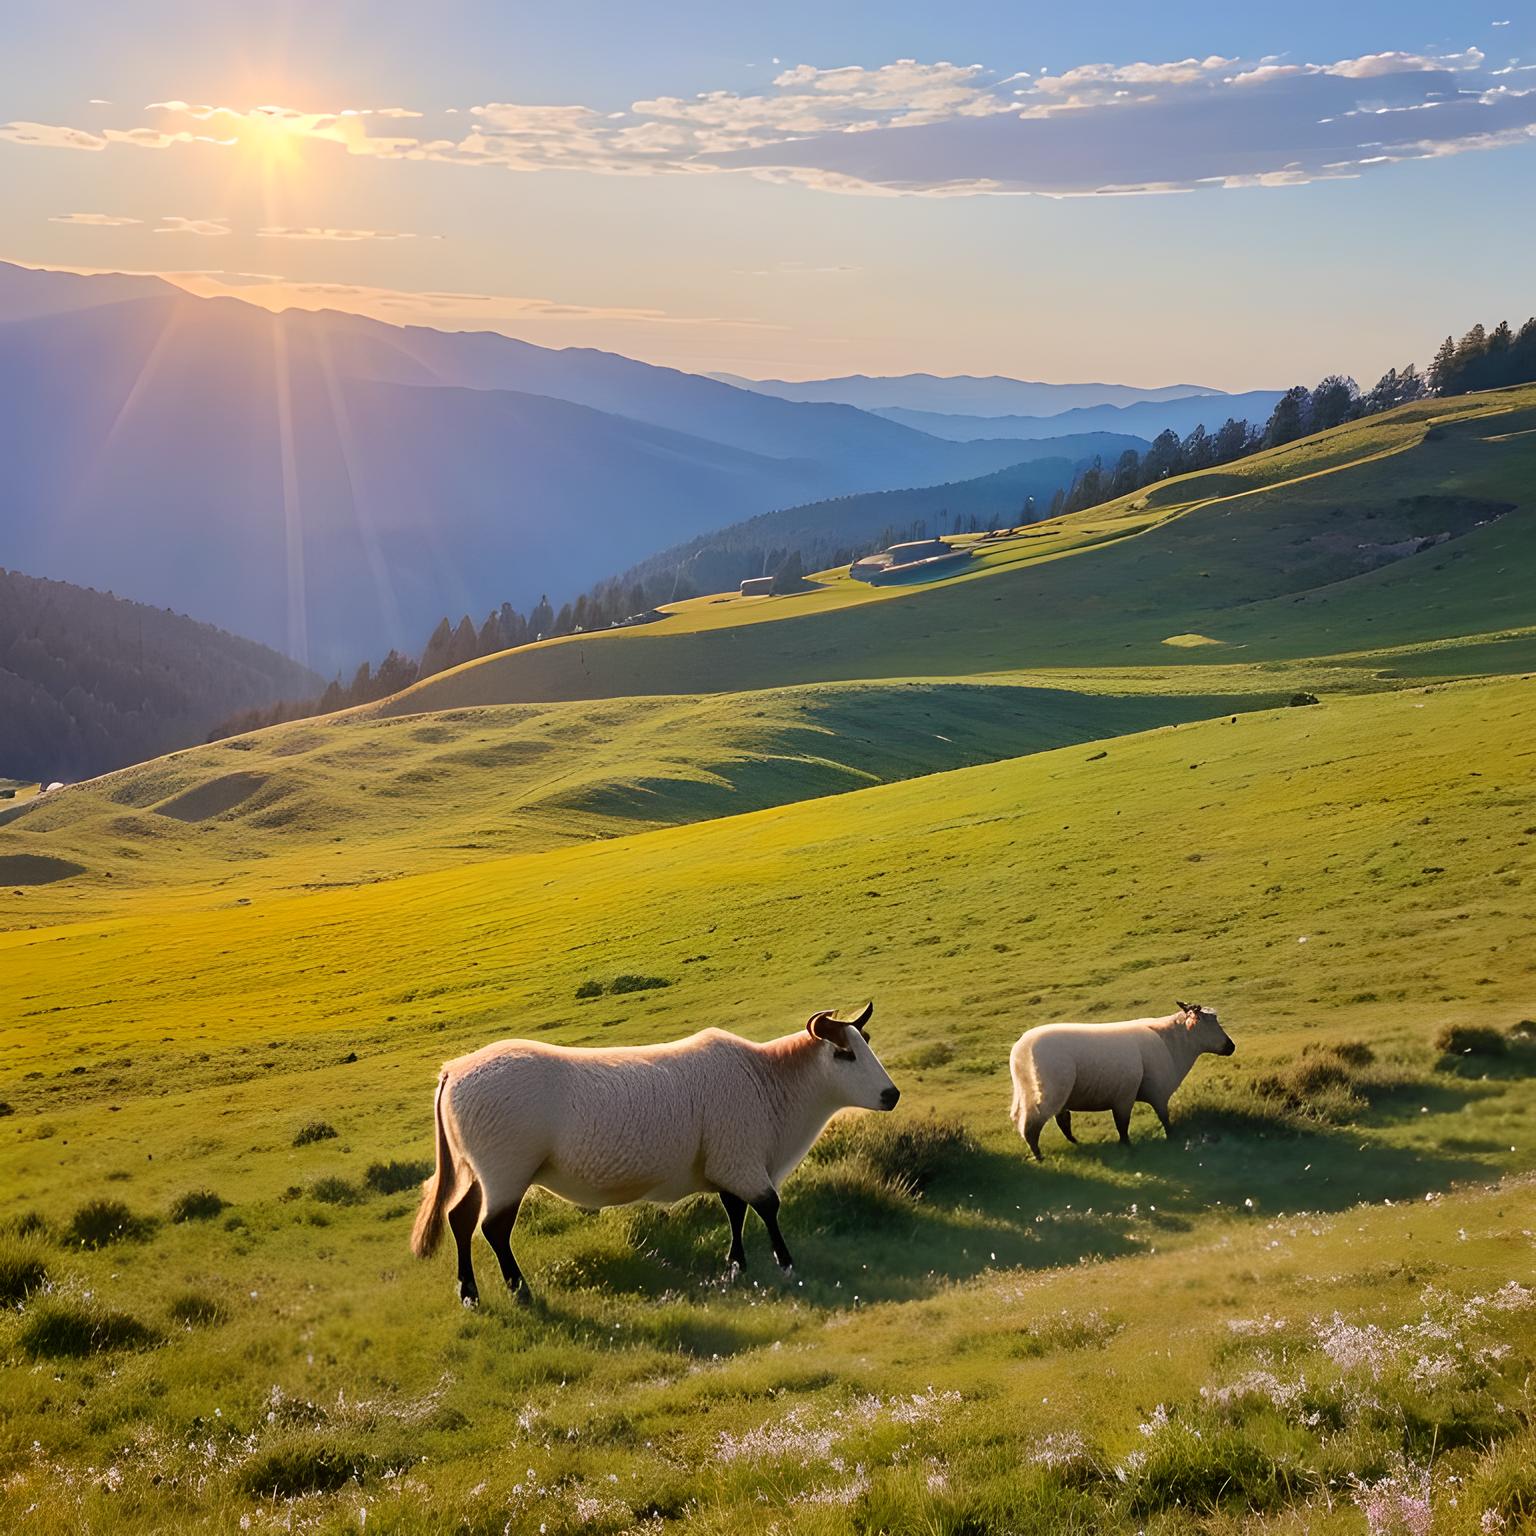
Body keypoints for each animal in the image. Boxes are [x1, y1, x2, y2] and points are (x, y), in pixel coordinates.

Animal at [411, 995, 897, 1308]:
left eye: (866, 1043)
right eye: (843, 1053)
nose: (891, 1095)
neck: (770, 1081)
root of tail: (453, 1071)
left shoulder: (727, 1159)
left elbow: (734, 1209)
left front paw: (735, 1266)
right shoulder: (740, 1156)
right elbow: (766, 1206)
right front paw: (786, 1264)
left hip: (477, 1167)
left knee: (459, 1218)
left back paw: (469, 1293)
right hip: (507, 1168)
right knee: (493, 1228)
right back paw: (520, 1290)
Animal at [1007, 1001, 1234, 1155]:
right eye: (1209, 1025)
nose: (1231, 1047)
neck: (1171, 1044)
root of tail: (1020, 1051)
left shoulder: (1127, 1096)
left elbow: (1125, 1125)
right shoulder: (1140, 1095)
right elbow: (1147, 1122)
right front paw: (1165, 1140)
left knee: (1061, 1120)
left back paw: (1075, 1143)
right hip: (1048, 1091)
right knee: (1031, 1123)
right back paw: (1038, 1156)